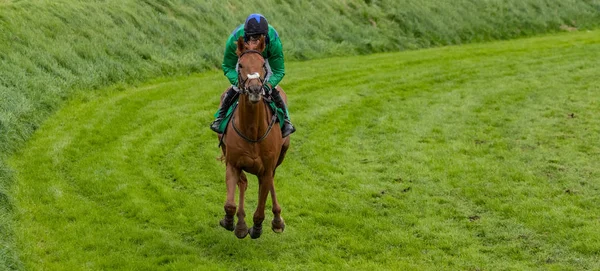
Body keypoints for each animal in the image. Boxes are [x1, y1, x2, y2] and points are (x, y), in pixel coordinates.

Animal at [217, 35, 290, 240]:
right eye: (241, 65)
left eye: (263, 65)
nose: (256, 89)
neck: (252, 132)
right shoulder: (233, 164)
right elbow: (230, 204)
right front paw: (230, 221)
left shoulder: (266, 169)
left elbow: (259, 211)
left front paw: (257, 228)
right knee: (243, 183)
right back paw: (241, 224)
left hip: (280, 156)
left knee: (271, 182)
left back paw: (277, 220)